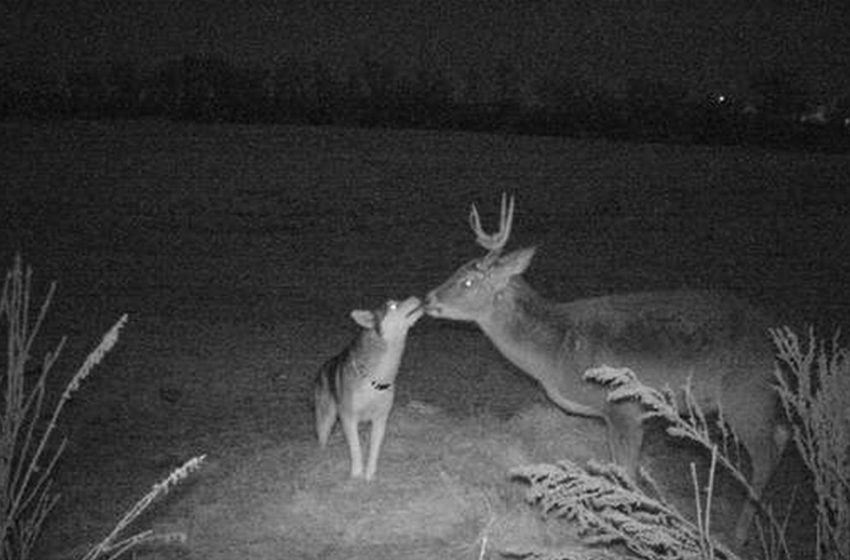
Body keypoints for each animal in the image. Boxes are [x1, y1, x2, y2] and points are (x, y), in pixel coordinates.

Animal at [424, 192, 788, 544]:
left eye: (468, 282)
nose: (428, 299)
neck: (556, 350)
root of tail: (773, 337)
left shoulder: (625, 407)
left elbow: (627, 475)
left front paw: (631, 530)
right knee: (782, 434)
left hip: (746, 394)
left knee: (765, 455)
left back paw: (739, 534)